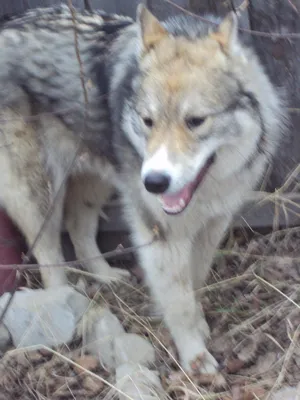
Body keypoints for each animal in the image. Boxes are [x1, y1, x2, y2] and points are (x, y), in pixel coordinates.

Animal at [0, 3, 286, 374]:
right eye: (148, 121)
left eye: (195, 121)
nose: (154, 182)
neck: (206, 189)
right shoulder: (161, 237)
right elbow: (178, 304)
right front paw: (195, 357)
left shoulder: (212, 225)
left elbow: (194, 283)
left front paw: (200, 325)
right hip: (39, 197)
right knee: (50, 258)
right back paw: (59, 310)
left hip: (97, 181)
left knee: (78, 228)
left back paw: (106, 276)